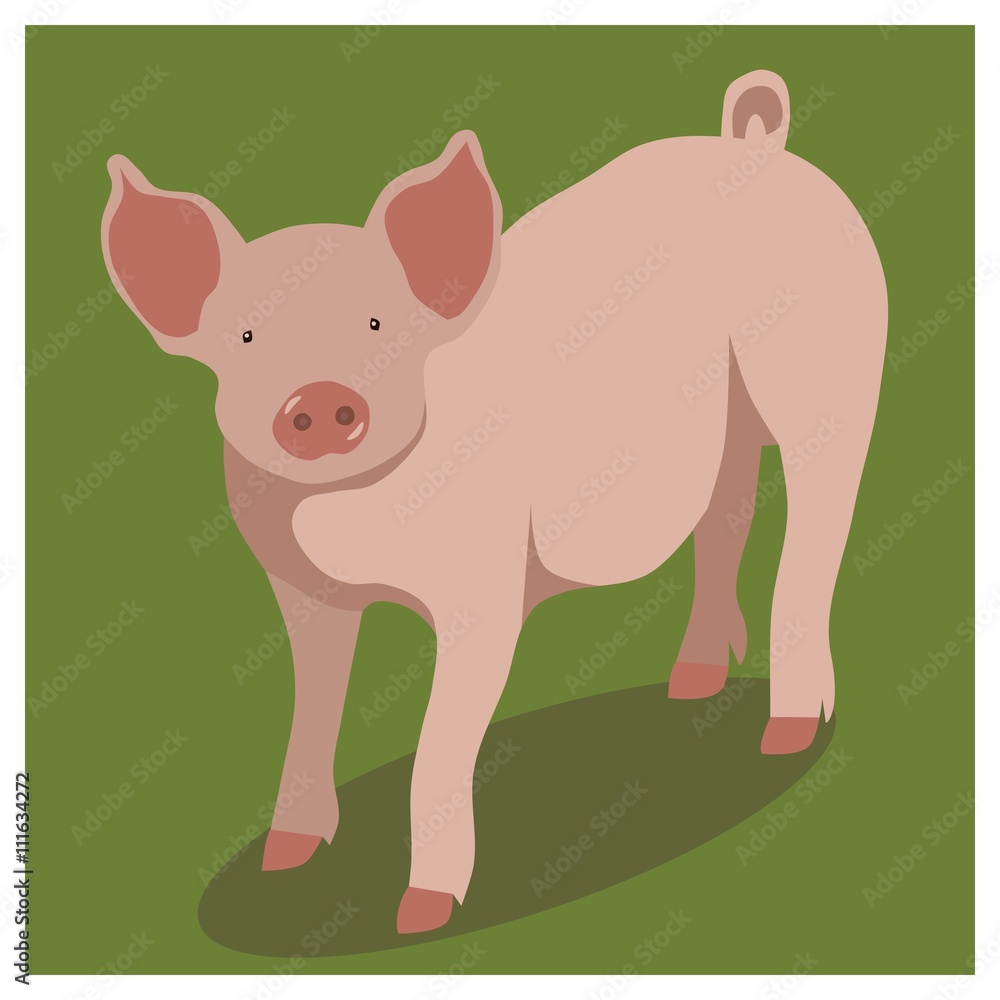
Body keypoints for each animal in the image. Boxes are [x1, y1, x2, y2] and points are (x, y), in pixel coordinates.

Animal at [100, 70, 886, 934]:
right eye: (243, 337)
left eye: (378, 323)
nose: (321, 400)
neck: (347, 519)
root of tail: (756, 144)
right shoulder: (299, 589)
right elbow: (312, 711)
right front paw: (285, 860)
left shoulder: (480, 591)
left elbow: (437, 748)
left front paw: (422, 916)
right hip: (723, 423)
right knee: (727, 509)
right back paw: (693, 684)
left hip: (832, 379)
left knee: (819, 526)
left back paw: (785, 736)